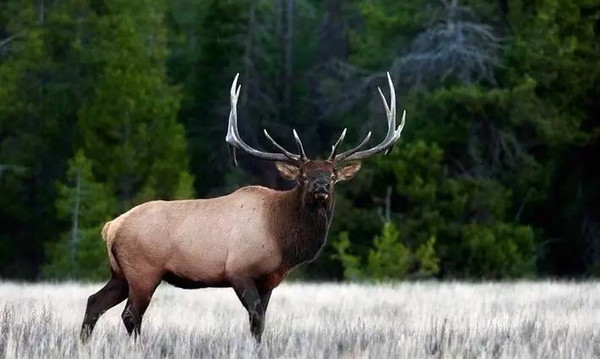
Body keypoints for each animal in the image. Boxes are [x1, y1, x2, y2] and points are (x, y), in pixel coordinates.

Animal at [79, 71, 406, 342]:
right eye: (303, 176)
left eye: (333, 176)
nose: (321, 187)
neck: (283, 238)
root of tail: (111, 227)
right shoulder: (239, 270)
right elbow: (256, 318)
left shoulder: (270, 280)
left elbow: (259, 323)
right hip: (144, 270)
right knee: (130, 314)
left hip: (120, 273)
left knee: (94, 302)